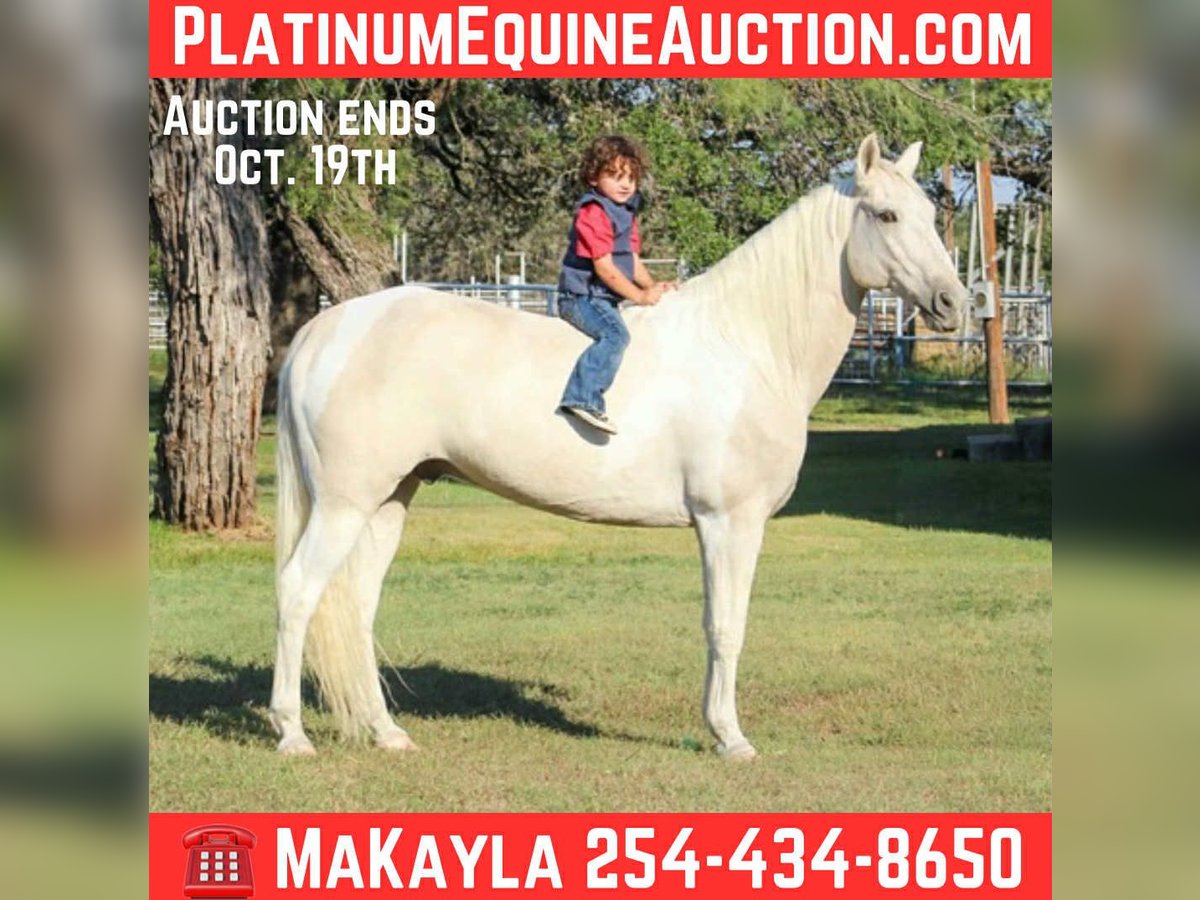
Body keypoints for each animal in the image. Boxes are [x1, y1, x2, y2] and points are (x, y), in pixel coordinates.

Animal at [269, 134, 966, 760]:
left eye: (930, 215)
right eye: (886, 215)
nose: (953, 303)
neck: (747, 345)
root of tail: (328, 328)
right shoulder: (729, 522)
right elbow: (726, 627)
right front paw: (730, 738)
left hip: (390, 499)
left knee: (356, 605)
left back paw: (386, 733)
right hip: (344, 504)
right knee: (298, 590)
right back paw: (293, 734)